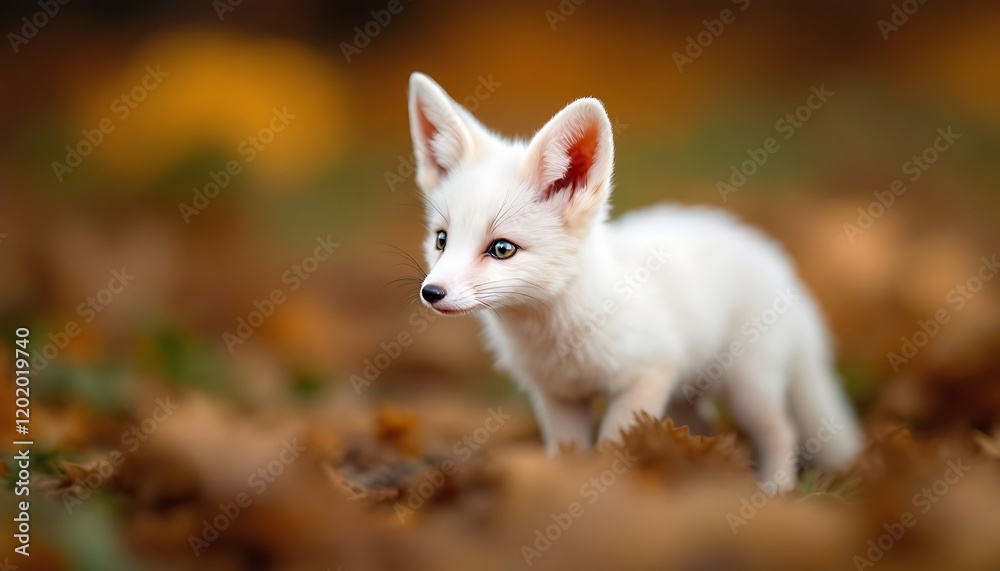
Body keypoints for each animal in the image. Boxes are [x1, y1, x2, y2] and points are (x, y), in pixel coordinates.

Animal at [406, 72, 862, 491]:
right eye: (441, 240)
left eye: (502, 249)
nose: (431, 293)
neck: (560, 340)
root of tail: (779, 262)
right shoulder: (558, 396)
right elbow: (568, 454)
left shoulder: (649, 371)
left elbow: (612, 446)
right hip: (689, 395)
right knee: (709, 428)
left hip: (747, 386)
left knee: (782, 431)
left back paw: (775, 491)